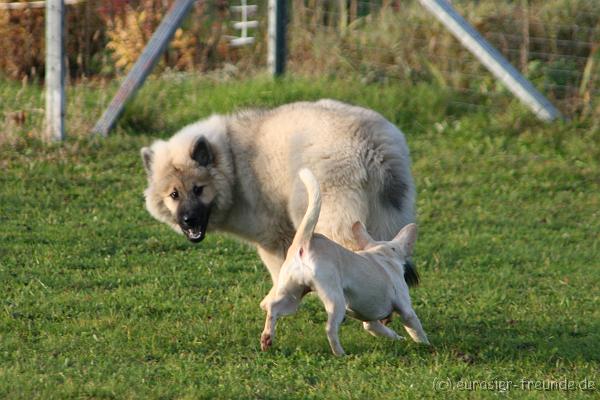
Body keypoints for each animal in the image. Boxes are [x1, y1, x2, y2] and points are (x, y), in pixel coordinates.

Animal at [141, 99, 418, 304]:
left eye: (198, 189)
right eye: (174, 195)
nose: (188, 220)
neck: (231, 162)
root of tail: (369, 143)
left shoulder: (273, 237)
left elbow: (279, 270)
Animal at [260, 169, 428, 356]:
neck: (381, 252)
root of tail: (305, 243)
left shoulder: (371, 322)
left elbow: (382, 330)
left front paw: (399, 339)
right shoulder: (406, 310)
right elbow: (416, 329)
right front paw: (426, 345)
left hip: (292, 296)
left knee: (273, 307)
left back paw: (266, 338)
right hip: (335, 300)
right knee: (330, 329)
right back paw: (340, 354)